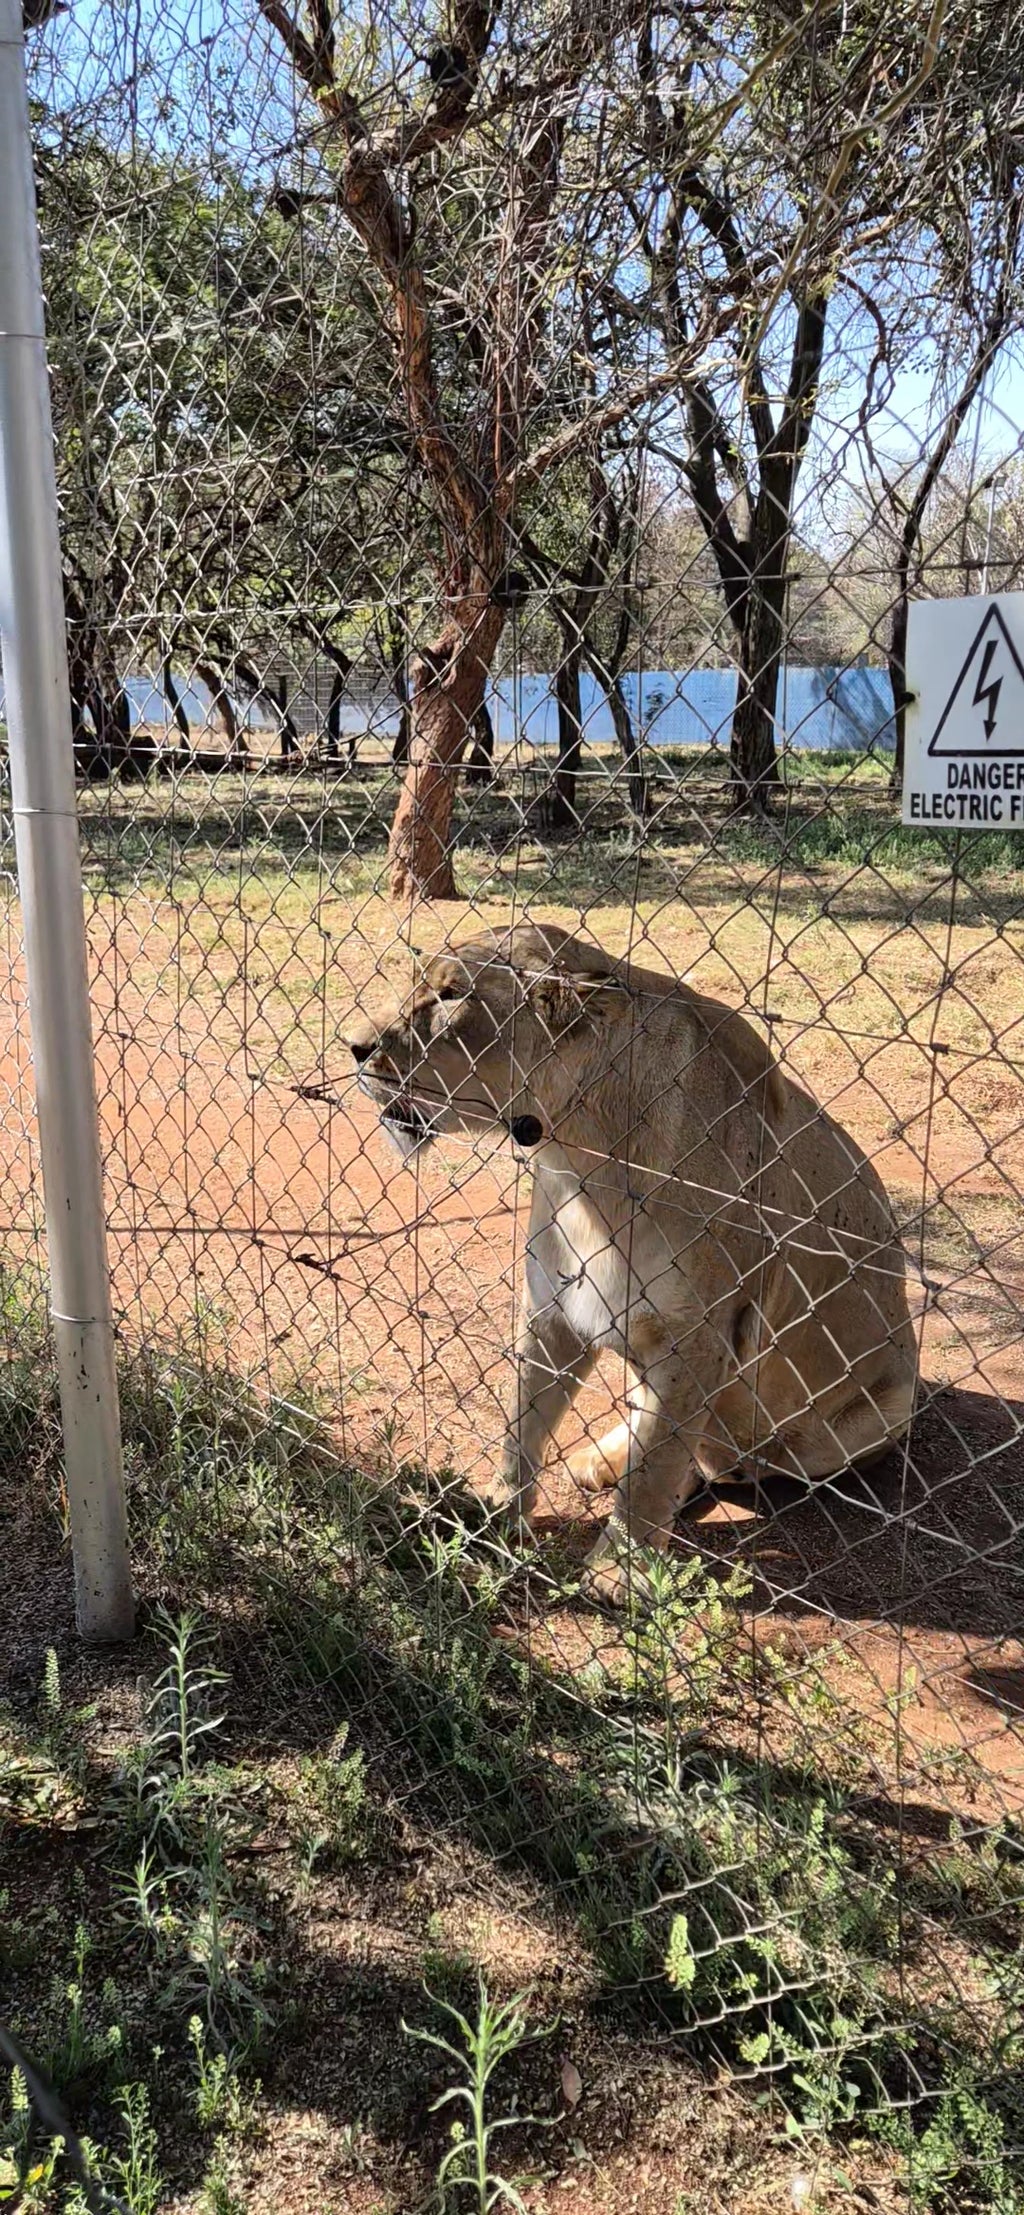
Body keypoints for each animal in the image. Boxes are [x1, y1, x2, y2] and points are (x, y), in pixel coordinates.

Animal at [344, 923, 917, 1601]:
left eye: (452, 995)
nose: (353, 1047)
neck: (580, 1149)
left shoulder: (698, 1339)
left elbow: (657, 1464)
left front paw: (619, 1571)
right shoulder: (555, 1307)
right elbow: (523, 1423)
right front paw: (495, 1511)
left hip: (870, 1415)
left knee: (728, 1462)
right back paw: (599, 1461)